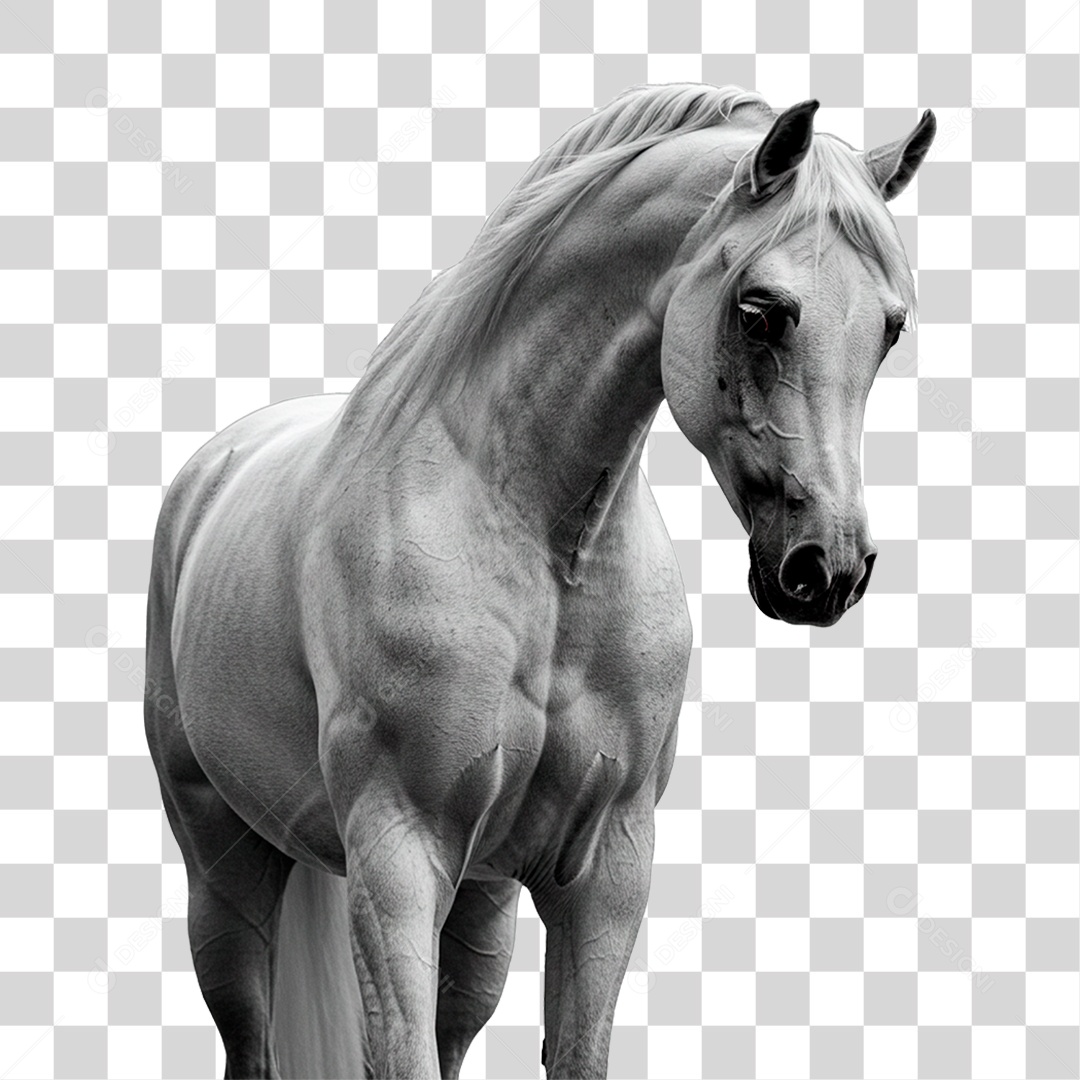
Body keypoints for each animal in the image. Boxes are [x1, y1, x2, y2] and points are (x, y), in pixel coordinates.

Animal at [144, 83, 935, 1079]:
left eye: (891, 327)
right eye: (760, 311)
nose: (826, 567)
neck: (543, 543)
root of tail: (210, 472)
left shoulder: (605, 869)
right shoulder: (398, 855)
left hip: (481, 903)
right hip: (225, 874)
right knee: (247, 1033)